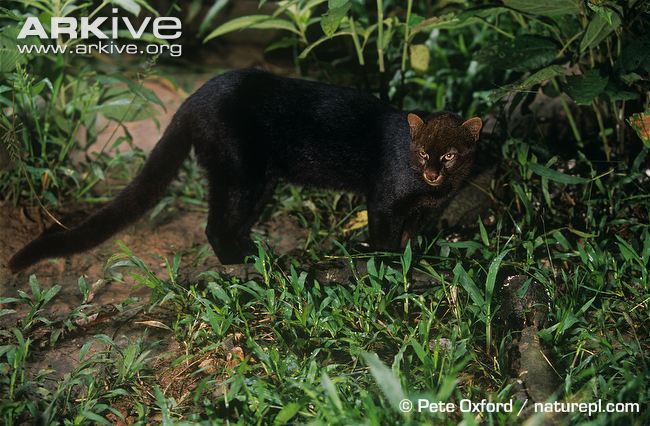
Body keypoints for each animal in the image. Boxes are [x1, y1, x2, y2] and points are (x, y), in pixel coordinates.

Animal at [7, 68, 478, 272]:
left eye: (450, 156)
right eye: (422, 154)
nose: (434, 174)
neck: (431, 194)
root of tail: (192, 98)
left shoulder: (423, 212)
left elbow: (412, 239)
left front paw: (418, 261)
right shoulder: (382, 202)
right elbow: (384, 241)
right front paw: (391, 268)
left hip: (260, 181)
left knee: (233, 223)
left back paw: (258, 255)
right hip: (239, 173)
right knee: (214, 225)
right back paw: (240, 263)